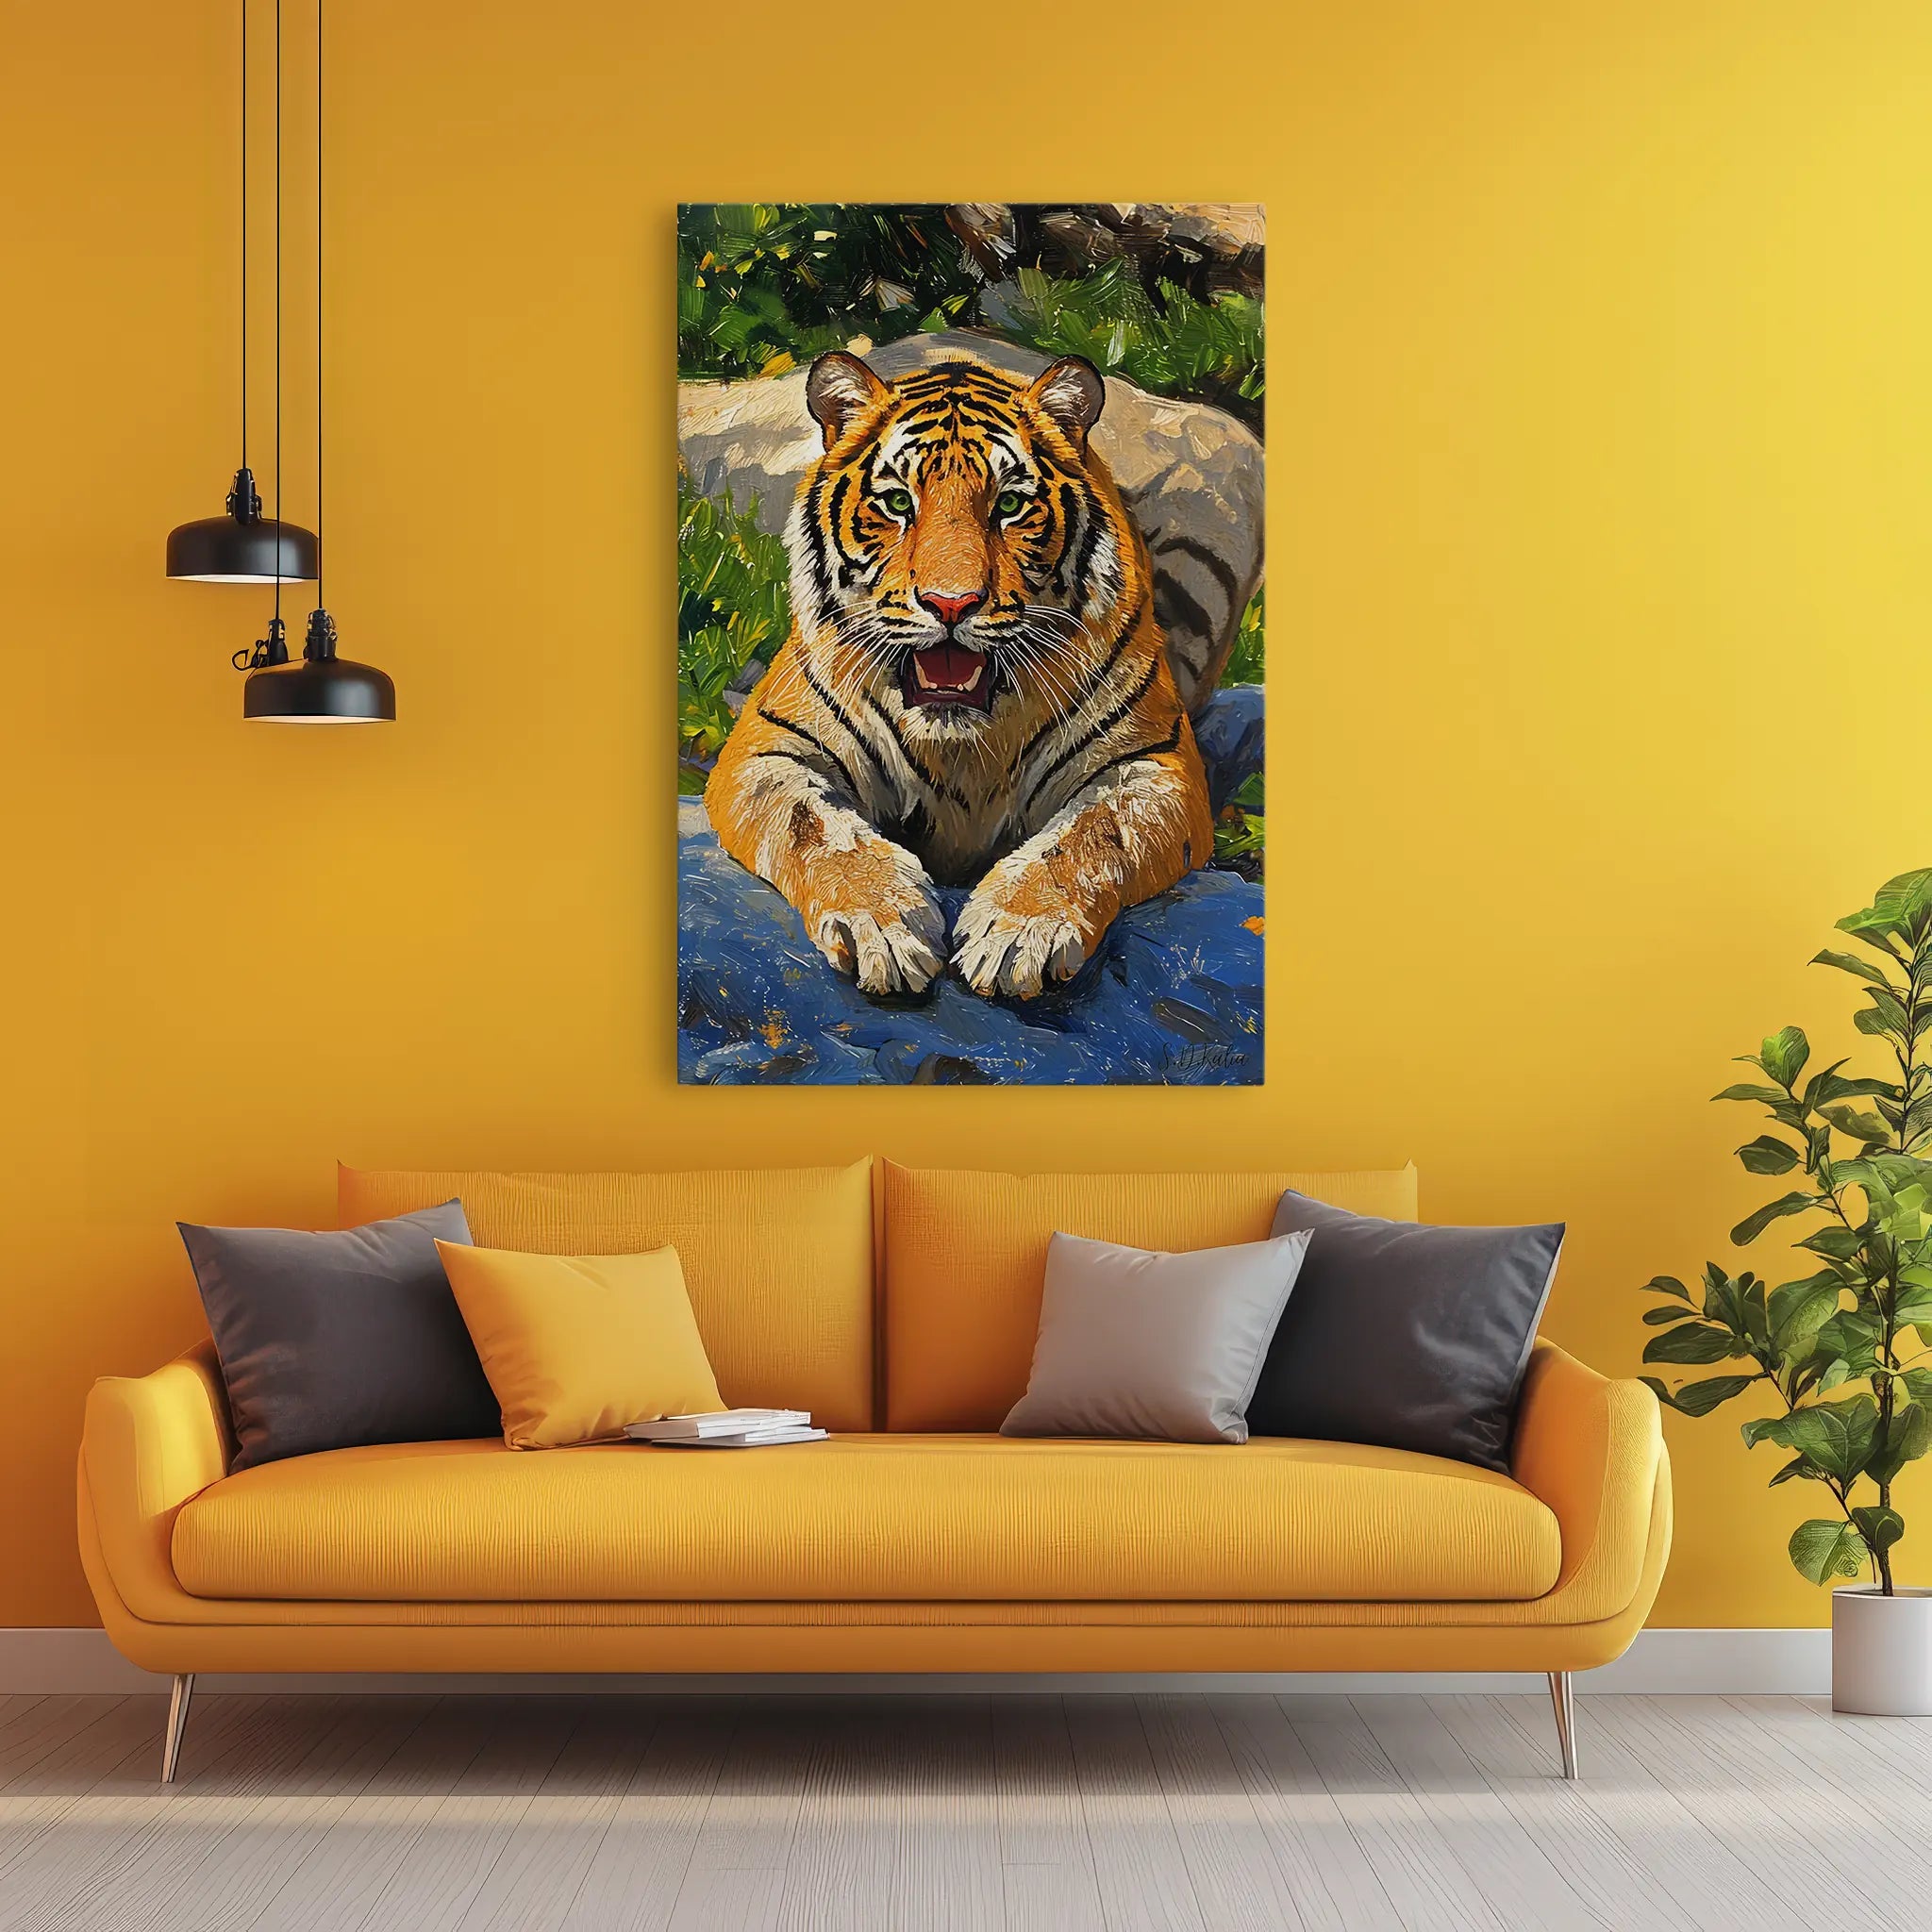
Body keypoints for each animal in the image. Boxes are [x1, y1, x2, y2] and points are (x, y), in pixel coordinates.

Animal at [704, 349, 1217, 1000]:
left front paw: (1018, 932)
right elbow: (817, 829)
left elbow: (1092, 833)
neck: (962, 750)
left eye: (1009, 505)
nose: (951, 604)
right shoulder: (768, 752)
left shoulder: (1152, 765)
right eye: (899, 504)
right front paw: (884, 926)